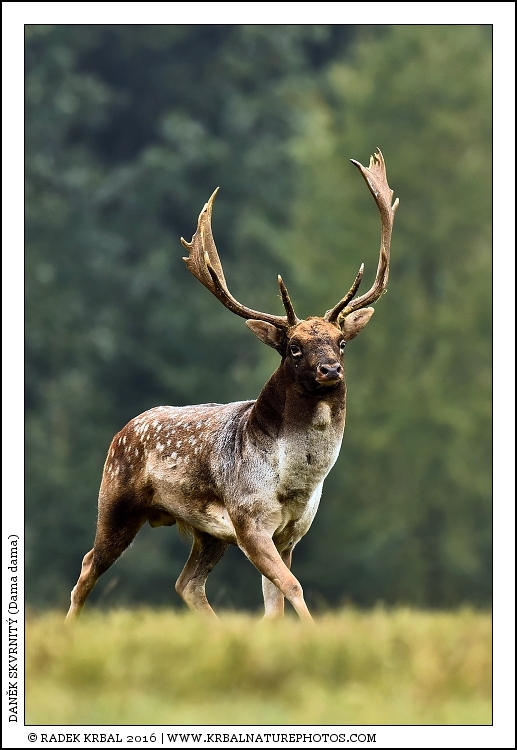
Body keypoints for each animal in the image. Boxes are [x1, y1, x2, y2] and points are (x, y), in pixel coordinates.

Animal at [66, 149, 398, 622]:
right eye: (293, 347)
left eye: (341, 341)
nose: (330, 369)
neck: (294, 483)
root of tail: (122, 431)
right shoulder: (249, 519)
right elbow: (293, 586)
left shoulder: (291, 531)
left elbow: (274, 602)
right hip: (115, 501)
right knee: (88, 564)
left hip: (207, 533)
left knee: (186, 583)